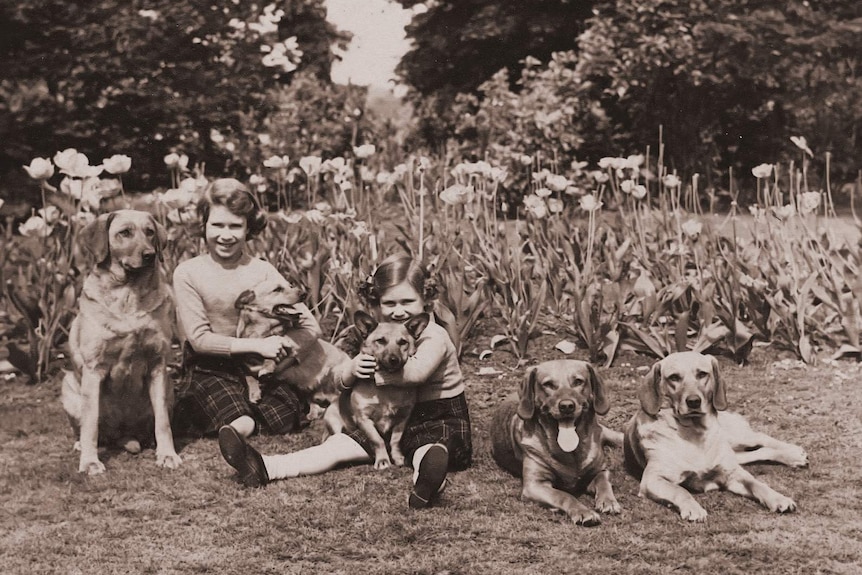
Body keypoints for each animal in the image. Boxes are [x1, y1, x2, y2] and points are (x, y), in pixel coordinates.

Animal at [62, 209, 182, 474]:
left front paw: (167, 454)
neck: (129, 292)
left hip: (170, 386)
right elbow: (90, 424)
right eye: (124, 232)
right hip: (69, 389)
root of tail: (123, 434)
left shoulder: (158, 365)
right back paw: (80, 445)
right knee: (84, 427)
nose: (149, 255)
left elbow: (163, 422)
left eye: (149, 232)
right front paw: (90, 461)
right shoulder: (94, 369)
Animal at [326, 312, 430, 470]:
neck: (387, 387)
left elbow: (395, 440)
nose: (394, 359)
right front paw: (383, 460)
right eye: (380, 341)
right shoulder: (364, 419)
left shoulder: (403, 418)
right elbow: (377, 440)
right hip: (333, 421)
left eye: (403, 342)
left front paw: (397, 457)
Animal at [492, 362, 620, 528]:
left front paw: (608, 501)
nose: (566, 406)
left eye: (578, 381)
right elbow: (563, 495)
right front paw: (583, 511)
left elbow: (604, 482)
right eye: (548, 384)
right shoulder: (535, 485)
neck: (571, 451)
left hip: (605, 432)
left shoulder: (600, 470)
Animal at [624, 352, 808, 520]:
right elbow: (680, 490)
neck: (694, 433)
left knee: (761, 437)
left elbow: (756, 483)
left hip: (735, 437)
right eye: (674, 377)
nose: (693, 401)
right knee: (757, 452)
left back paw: (793, 452)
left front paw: (778, 497)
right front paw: (693, 508)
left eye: (702, 374)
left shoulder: (732, 473)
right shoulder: (652, 479)